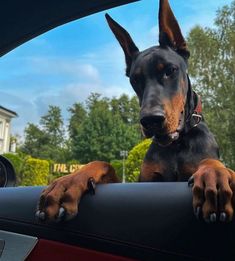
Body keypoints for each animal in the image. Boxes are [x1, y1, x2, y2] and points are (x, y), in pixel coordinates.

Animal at [35, 0, 235, 223]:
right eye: (134, 80)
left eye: (170, 70)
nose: (151, 121)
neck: (176, 145)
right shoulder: (143, 183)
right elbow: (103, 163)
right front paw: (68, 181)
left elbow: (211, 162)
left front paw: (214, 174)